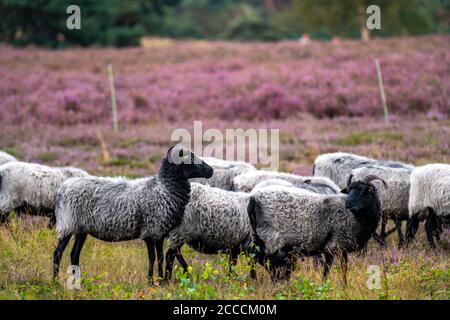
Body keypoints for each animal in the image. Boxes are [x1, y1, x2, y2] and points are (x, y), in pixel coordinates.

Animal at [52, 146, 214, 282]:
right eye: (190, 159)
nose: (211, 171)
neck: (163, 189)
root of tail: (62, 189)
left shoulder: (159, 233)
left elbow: (160, 257)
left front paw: (160, 281)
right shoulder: (150, 232)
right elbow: (153, 258)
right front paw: (152, 281)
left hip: (81, 229)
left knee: (74, 254)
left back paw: (77, 281)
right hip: (68, 224)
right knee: (58, 253)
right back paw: (55, 281)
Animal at [248, 175, 384, 282]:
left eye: (363, 191)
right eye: (349, 190)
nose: (347, 203)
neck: (354, 217)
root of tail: (254, 198)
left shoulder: (342, 248)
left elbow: (343, 268)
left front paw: (345, 285)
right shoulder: (333, 245)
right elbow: (328, 268)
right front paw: (326, 285)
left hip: (257, 235)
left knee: (253, 257)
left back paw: (255, 281)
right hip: (272, 237)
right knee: (266, 260)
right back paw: (274, 280)